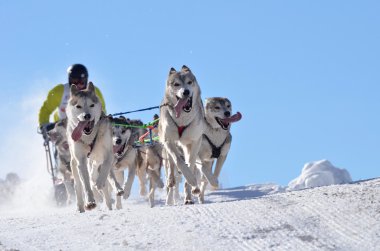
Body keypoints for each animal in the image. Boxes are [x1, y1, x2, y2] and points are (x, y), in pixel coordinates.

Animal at [66, 82, 116, 212]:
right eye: (78, 106)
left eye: (91, 105)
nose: (87, 116)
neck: (90, 137)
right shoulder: (81, 160)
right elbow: (86, 184)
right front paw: (90, 202)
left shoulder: (108, 154)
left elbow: (105, 168)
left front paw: (99, 183)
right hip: (74, 164)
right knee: (78, 185)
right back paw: (81, 206)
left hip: (97, 159)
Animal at [158, 65, 203, 204]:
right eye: (176, 84)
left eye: (189, 82)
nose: (186, 92)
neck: (182, 119)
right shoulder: (168, 140)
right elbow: (178, 161)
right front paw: (189, 177)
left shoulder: (195, 141)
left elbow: (191, 164)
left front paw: (192, 184)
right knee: (171, 165)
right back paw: (171, 181)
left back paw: (190, 194)